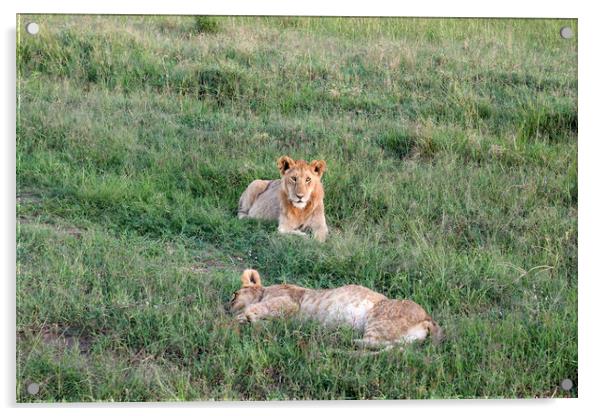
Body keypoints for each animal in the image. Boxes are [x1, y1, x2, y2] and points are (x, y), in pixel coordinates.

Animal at [229, 270, 440, 352]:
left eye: (234, 295)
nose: (227, 306)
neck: (265, 291)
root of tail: (428, 319)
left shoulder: (290, 302)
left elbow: (260, 307)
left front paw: (240, 318)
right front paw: (248, 321)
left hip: (378, 318)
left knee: (377, 343)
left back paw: (337, 339)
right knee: (391, 347)